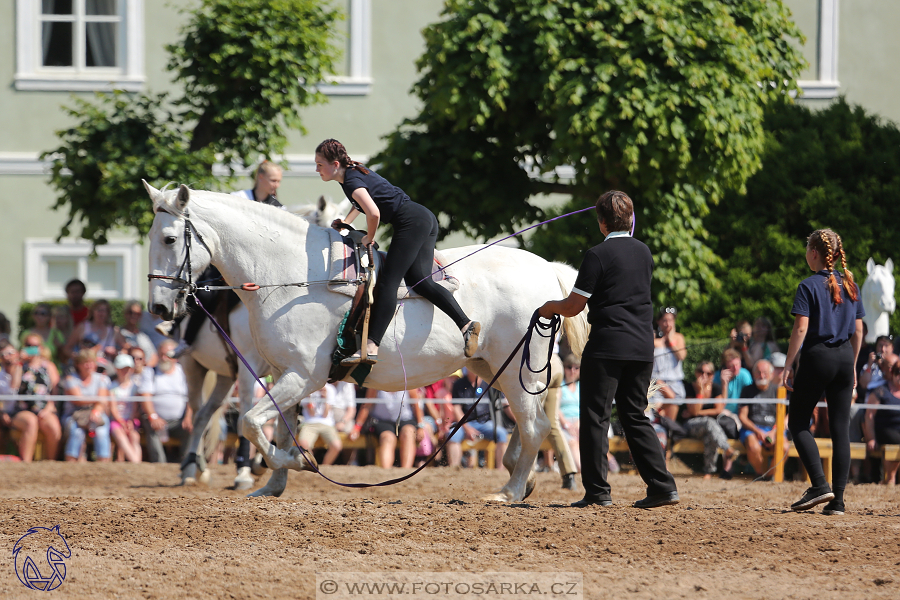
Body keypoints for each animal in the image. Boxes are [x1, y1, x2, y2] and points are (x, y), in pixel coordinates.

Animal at [144, 184, 588, 502]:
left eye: (168, 239)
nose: (159, 307)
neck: (290, 274)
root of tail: (547, 269)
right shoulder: (286, 374)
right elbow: (280, 427)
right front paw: (274, 483)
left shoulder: (302, 375)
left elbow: (252, 423)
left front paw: (294, 462)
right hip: (495, 367)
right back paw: (520, 476)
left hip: (518, 370)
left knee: (534, 425)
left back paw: (509, 491)